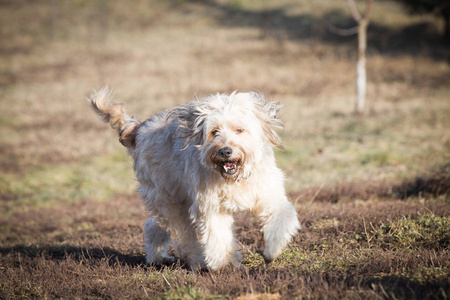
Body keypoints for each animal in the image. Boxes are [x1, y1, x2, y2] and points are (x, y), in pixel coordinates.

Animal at [88, 88, 300, 270]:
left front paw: (271, 250)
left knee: (153, 225)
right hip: (169, 199)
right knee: (183, 236)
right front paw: (226, 264)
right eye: (214, 131)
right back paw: (197, 262)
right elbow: (218, 237)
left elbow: (280, 218)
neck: (234, 179)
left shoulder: (269, 195)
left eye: (239, 130)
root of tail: (140, 128)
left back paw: (158, 257)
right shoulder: (211, 207)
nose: (225, 151)